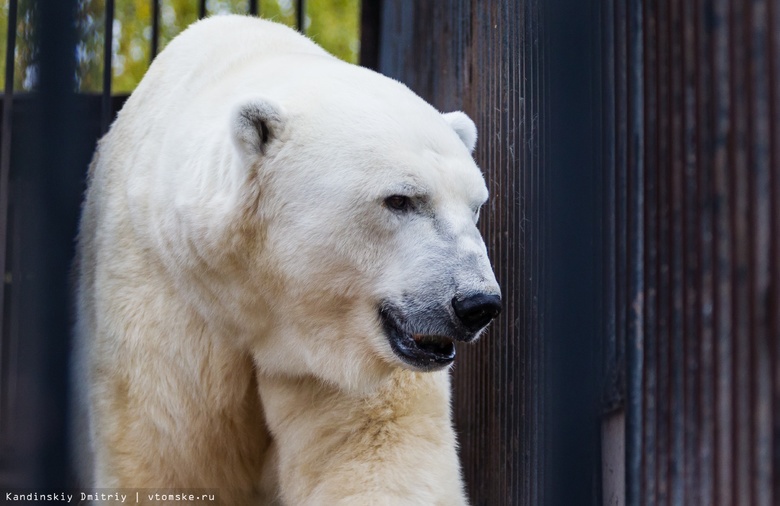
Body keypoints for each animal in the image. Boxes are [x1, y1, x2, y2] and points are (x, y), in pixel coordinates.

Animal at [71, 13, 500, 504]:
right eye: (400, 199)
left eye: (476, 206)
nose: (477, 303)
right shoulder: (163, 313)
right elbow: (167, 455)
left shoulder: (338, 361)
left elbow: (377, 455)